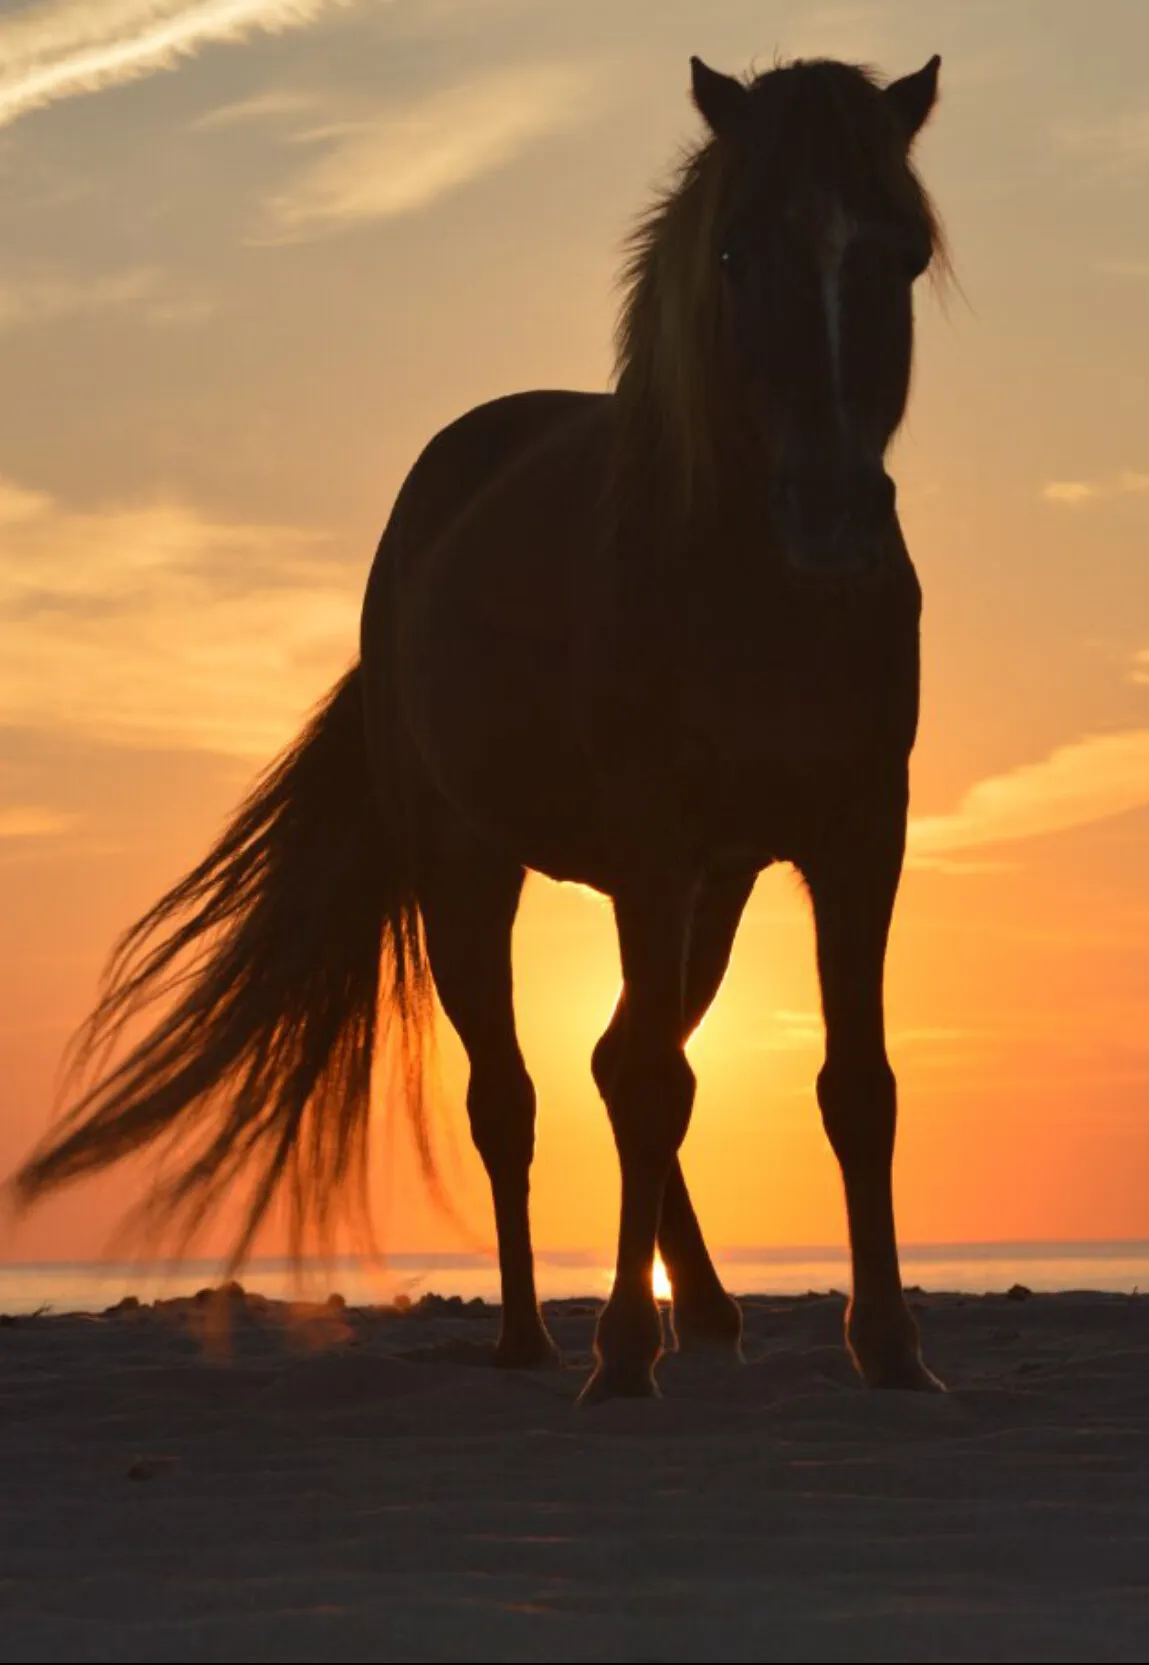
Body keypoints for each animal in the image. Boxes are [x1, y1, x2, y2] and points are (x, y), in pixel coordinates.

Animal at [14, 53, 948, 1401]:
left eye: (902, 253)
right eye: (736, 254)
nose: (830, 510)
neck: (752, 592)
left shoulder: (859, 836)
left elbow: (853, 1087)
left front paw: (891, 1350)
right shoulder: (652, 854)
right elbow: (652, 1087)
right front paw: (621, 1357)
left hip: (710, 896)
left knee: (619, 1058)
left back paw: (708, 1312)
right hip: (471, 877)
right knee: (520, 1096)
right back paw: (533, 1336)